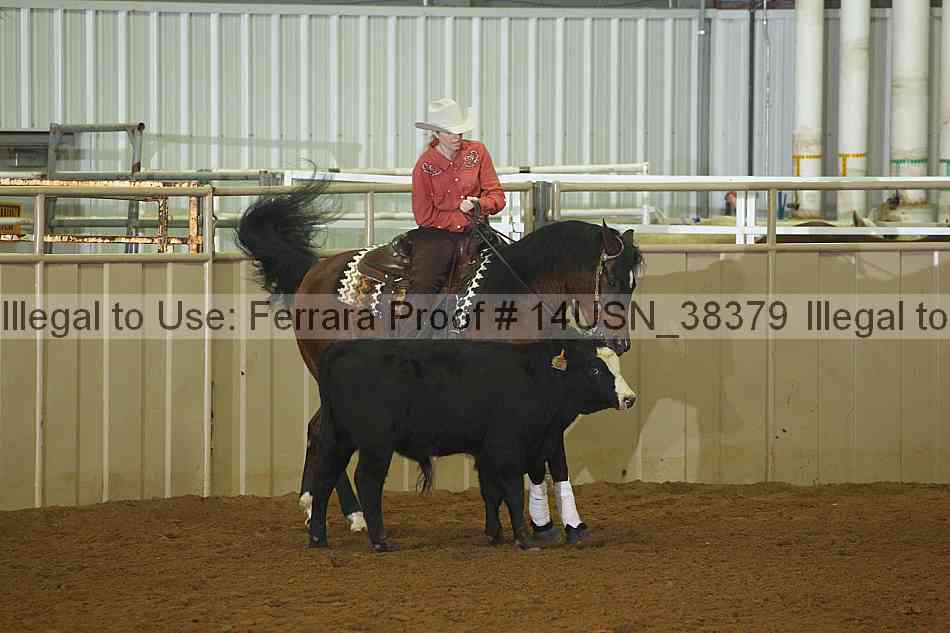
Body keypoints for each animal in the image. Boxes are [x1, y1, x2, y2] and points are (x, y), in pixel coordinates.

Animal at [303, 339, 637, 552]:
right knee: (367, 482)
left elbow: (491, 493)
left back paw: (318, 537)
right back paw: (380, 540)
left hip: (337, 438)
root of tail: (342, 348)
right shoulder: (508, 450)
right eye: (595, 369)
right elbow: (512, 492)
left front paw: (495, 534)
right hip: (376, 445)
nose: (629, 398)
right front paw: (524, 539)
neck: (537, 377)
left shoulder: (488, 452)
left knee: (324, 477)